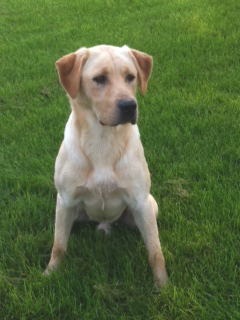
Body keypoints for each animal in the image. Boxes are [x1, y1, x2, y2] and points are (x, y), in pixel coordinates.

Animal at [45, 44, 169, 288]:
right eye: (99, 79)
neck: (103, 139)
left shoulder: (141, 202)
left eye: (131, 77)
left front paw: (163, 286)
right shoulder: (65, 200)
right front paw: (50, 273)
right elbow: (59, 245)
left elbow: (155, 252)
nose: (129, 106)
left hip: (150, 206)